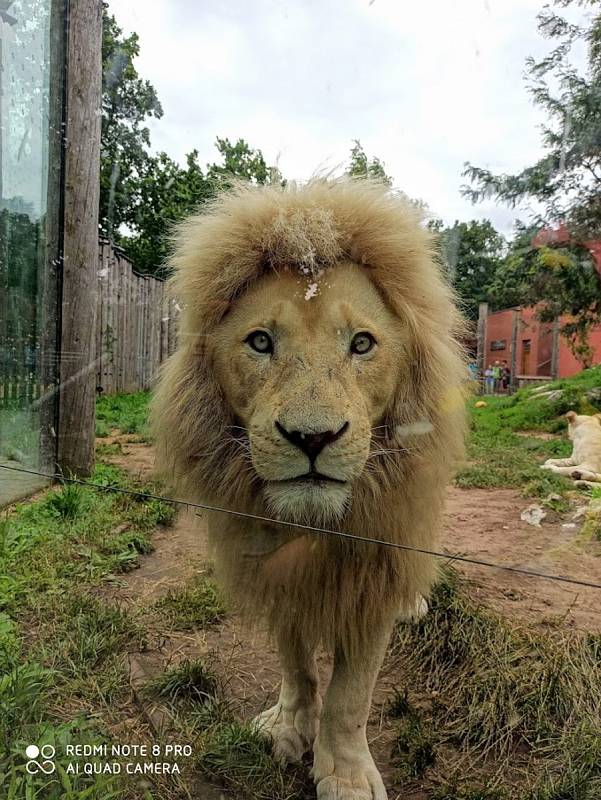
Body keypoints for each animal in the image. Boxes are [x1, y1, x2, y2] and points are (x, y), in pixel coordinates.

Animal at [151, 178, 468, 796]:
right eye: (260, 342)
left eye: (362, 344)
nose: (312, 437)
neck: (315, 526)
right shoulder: (277, 575)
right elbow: (297, 665)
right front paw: (289, 728)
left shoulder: (373, 575)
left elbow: (350, 695)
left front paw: (345, 775)